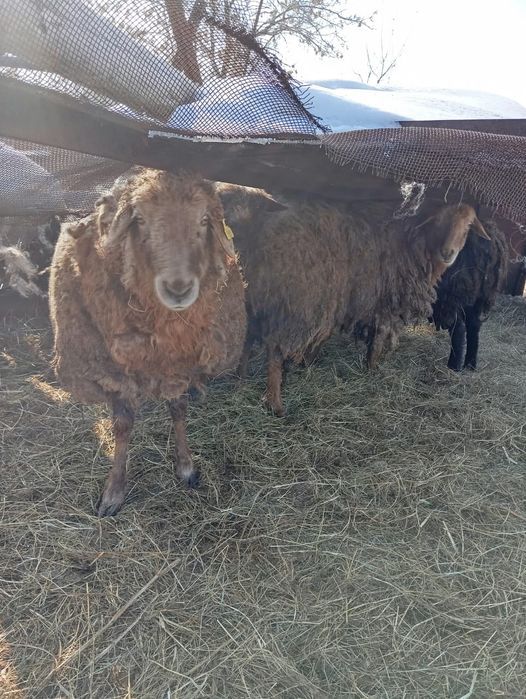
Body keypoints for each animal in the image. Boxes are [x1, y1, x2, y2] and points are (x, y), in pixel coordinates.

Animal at [49, 169, 246, 516]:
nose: (179, 289)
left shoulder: (180, 365)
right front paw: (114, 491)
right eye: (139, 220)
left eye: (204, 220)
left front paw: (186, 467)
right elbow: (123, 426)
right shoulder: (115, 374)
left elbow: (179, 410)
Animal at [218, 184, 488, 415]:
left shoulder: (340, 297)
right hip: (293, 299)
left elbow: (326, 334)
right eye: (440, 220)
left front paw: (308, 361)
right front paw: (372, 369)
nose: (448, 253)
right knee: (274, 350)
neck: (413, 241)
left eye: (468, 226)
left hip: (254, 294)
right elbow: (378, 337)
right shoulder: (383, 300)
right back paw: (275, 404)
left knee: (246, 337)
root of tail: (255, 220)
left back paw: (240, 380)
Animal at [432, 219, 508, 371]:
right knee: (474, 326)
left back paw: (454, 366)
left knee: (458, 329)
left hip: (450, 295)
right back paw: (470, 364)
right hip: (476, 296)